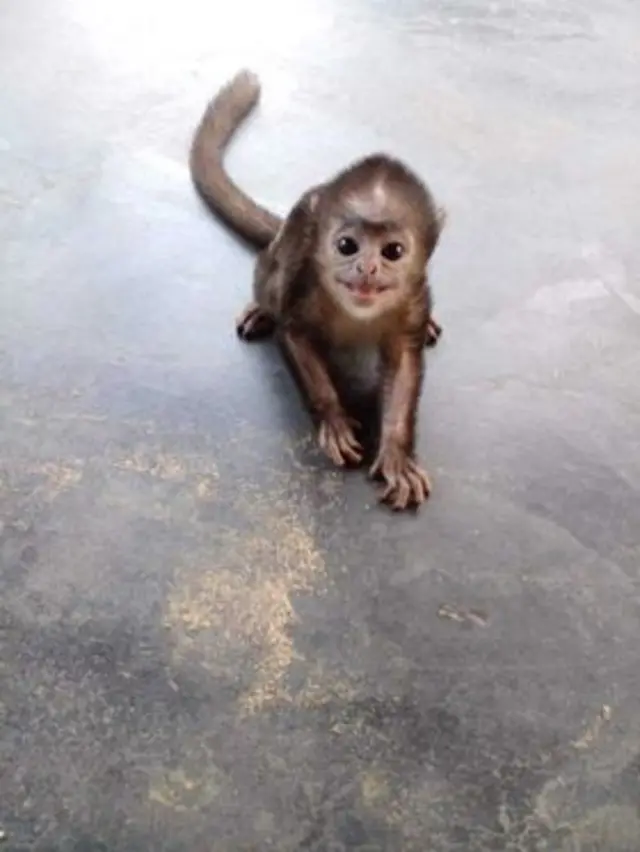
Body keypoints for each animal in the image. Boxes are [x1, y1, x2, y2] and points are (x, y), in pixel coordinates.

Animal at [190, 70, 445, 510]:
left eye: (393, 251)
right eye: (346, 245)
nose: (367, 268)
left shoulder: (413, 297)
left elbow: (404, 363)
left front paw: (397, 455)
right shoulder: (303, 277)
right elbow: (294, 333)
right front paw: (334, 419)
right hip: (287, 247)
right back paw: (261, 309)